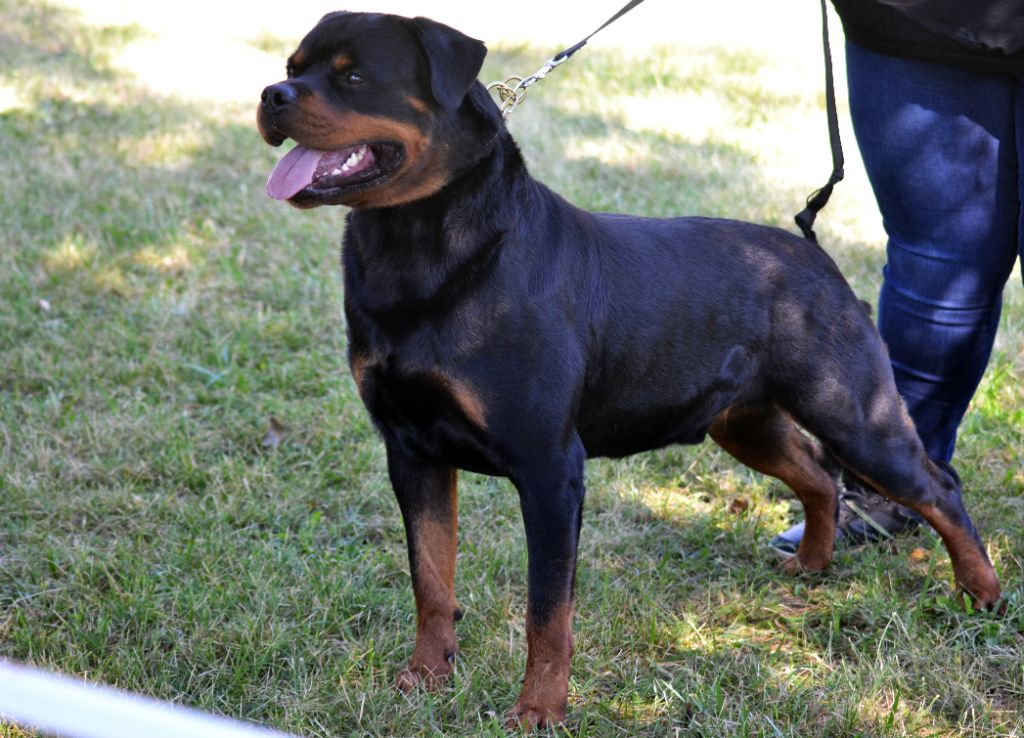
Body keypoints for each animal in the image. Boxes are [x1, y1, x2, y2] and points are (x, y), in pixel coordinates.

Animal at [257, 12, 1002, 727]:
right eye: (294, 66)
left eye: (354, 77)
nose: (271, 94)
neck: (419, 247)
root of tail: (813, 251)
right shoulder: (412, 451)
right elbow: (431, 579)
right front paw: (427, 675)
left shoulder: (550, 468)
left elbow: (547, 612)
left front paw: (539, 710)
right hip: (744, 422)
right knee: (818, 476)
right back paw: (814, 566)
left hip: (853, 414)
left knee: (936, 488)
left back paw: (982, 594)